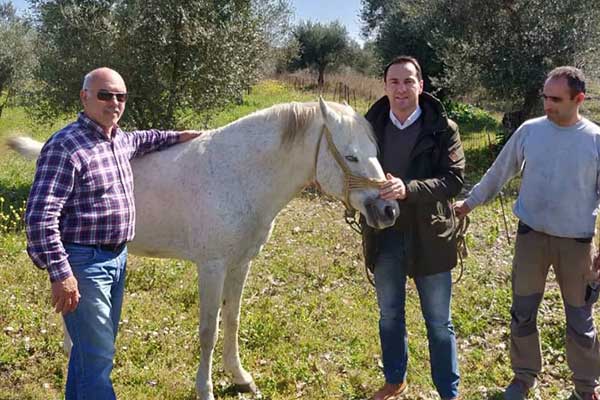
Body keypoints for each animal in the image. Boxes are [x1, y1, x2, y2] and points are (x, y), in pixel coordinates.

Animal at [8, 98, 399, 400]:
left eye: (374, 151)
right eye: (350, 157)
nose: (389, 210)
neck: (238, 175)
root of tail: (49, 151)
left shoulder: (241, 264)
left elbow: (232, 320)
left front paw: (241, 378)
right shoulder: (211, 266)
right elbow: (208, 330)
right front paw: (205, 388)